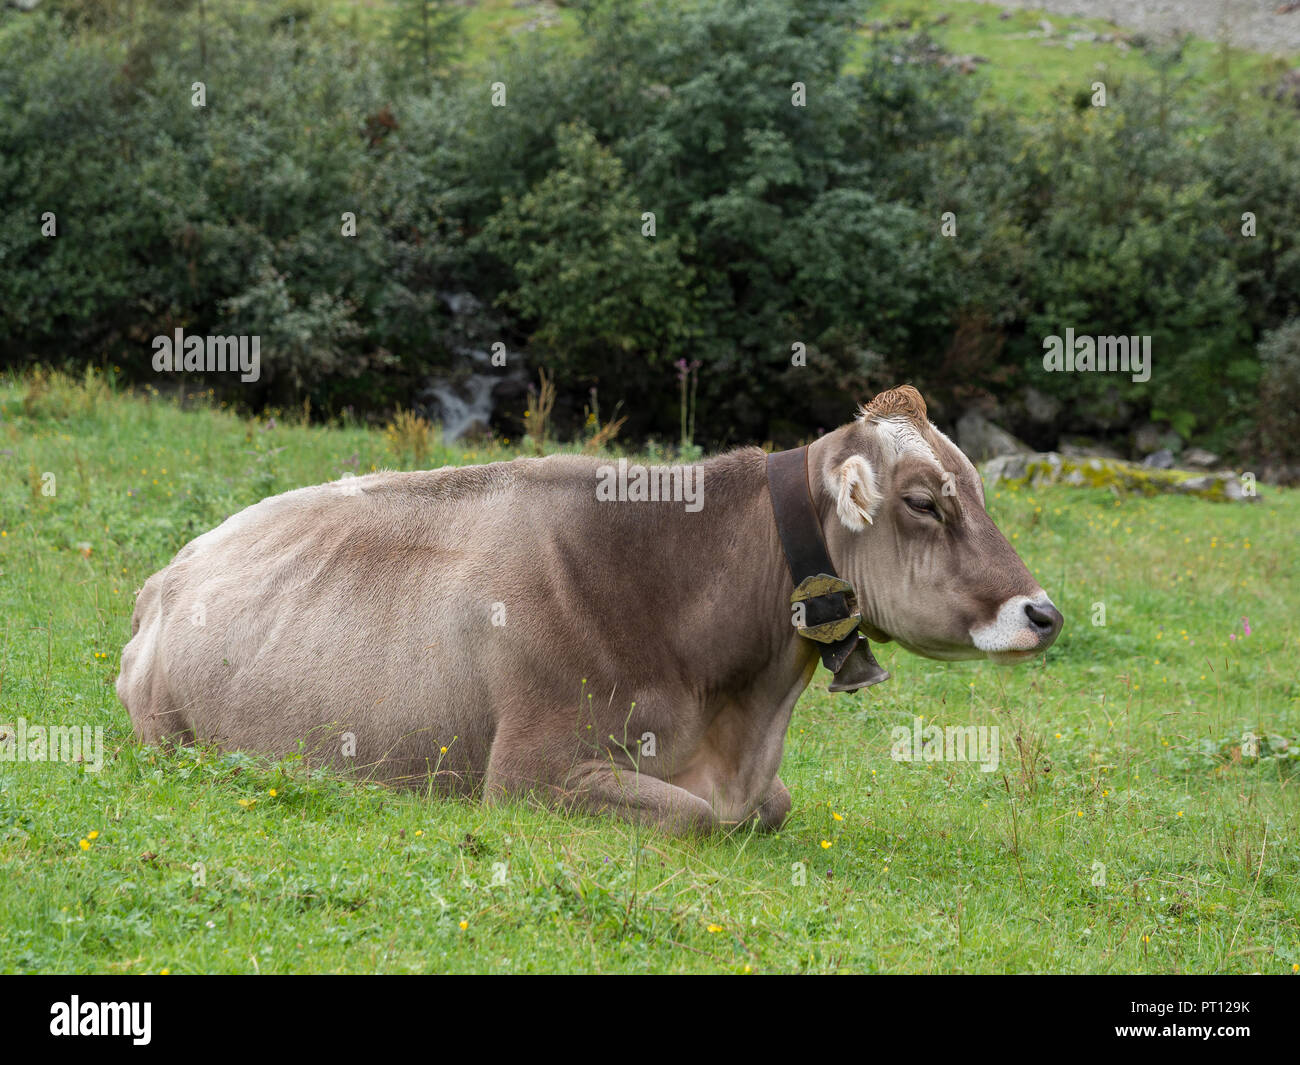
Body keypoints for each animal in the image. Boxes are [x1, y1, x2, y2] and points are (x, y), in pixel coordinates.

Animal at [116, 387, 1060, 837]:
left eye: (976, 487)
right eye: (924, 502)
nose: (1042, 612)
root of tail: (167, 573)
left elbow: (772, 805)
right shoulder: (527, 776)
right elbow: (695, 816)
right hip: (171, 734)